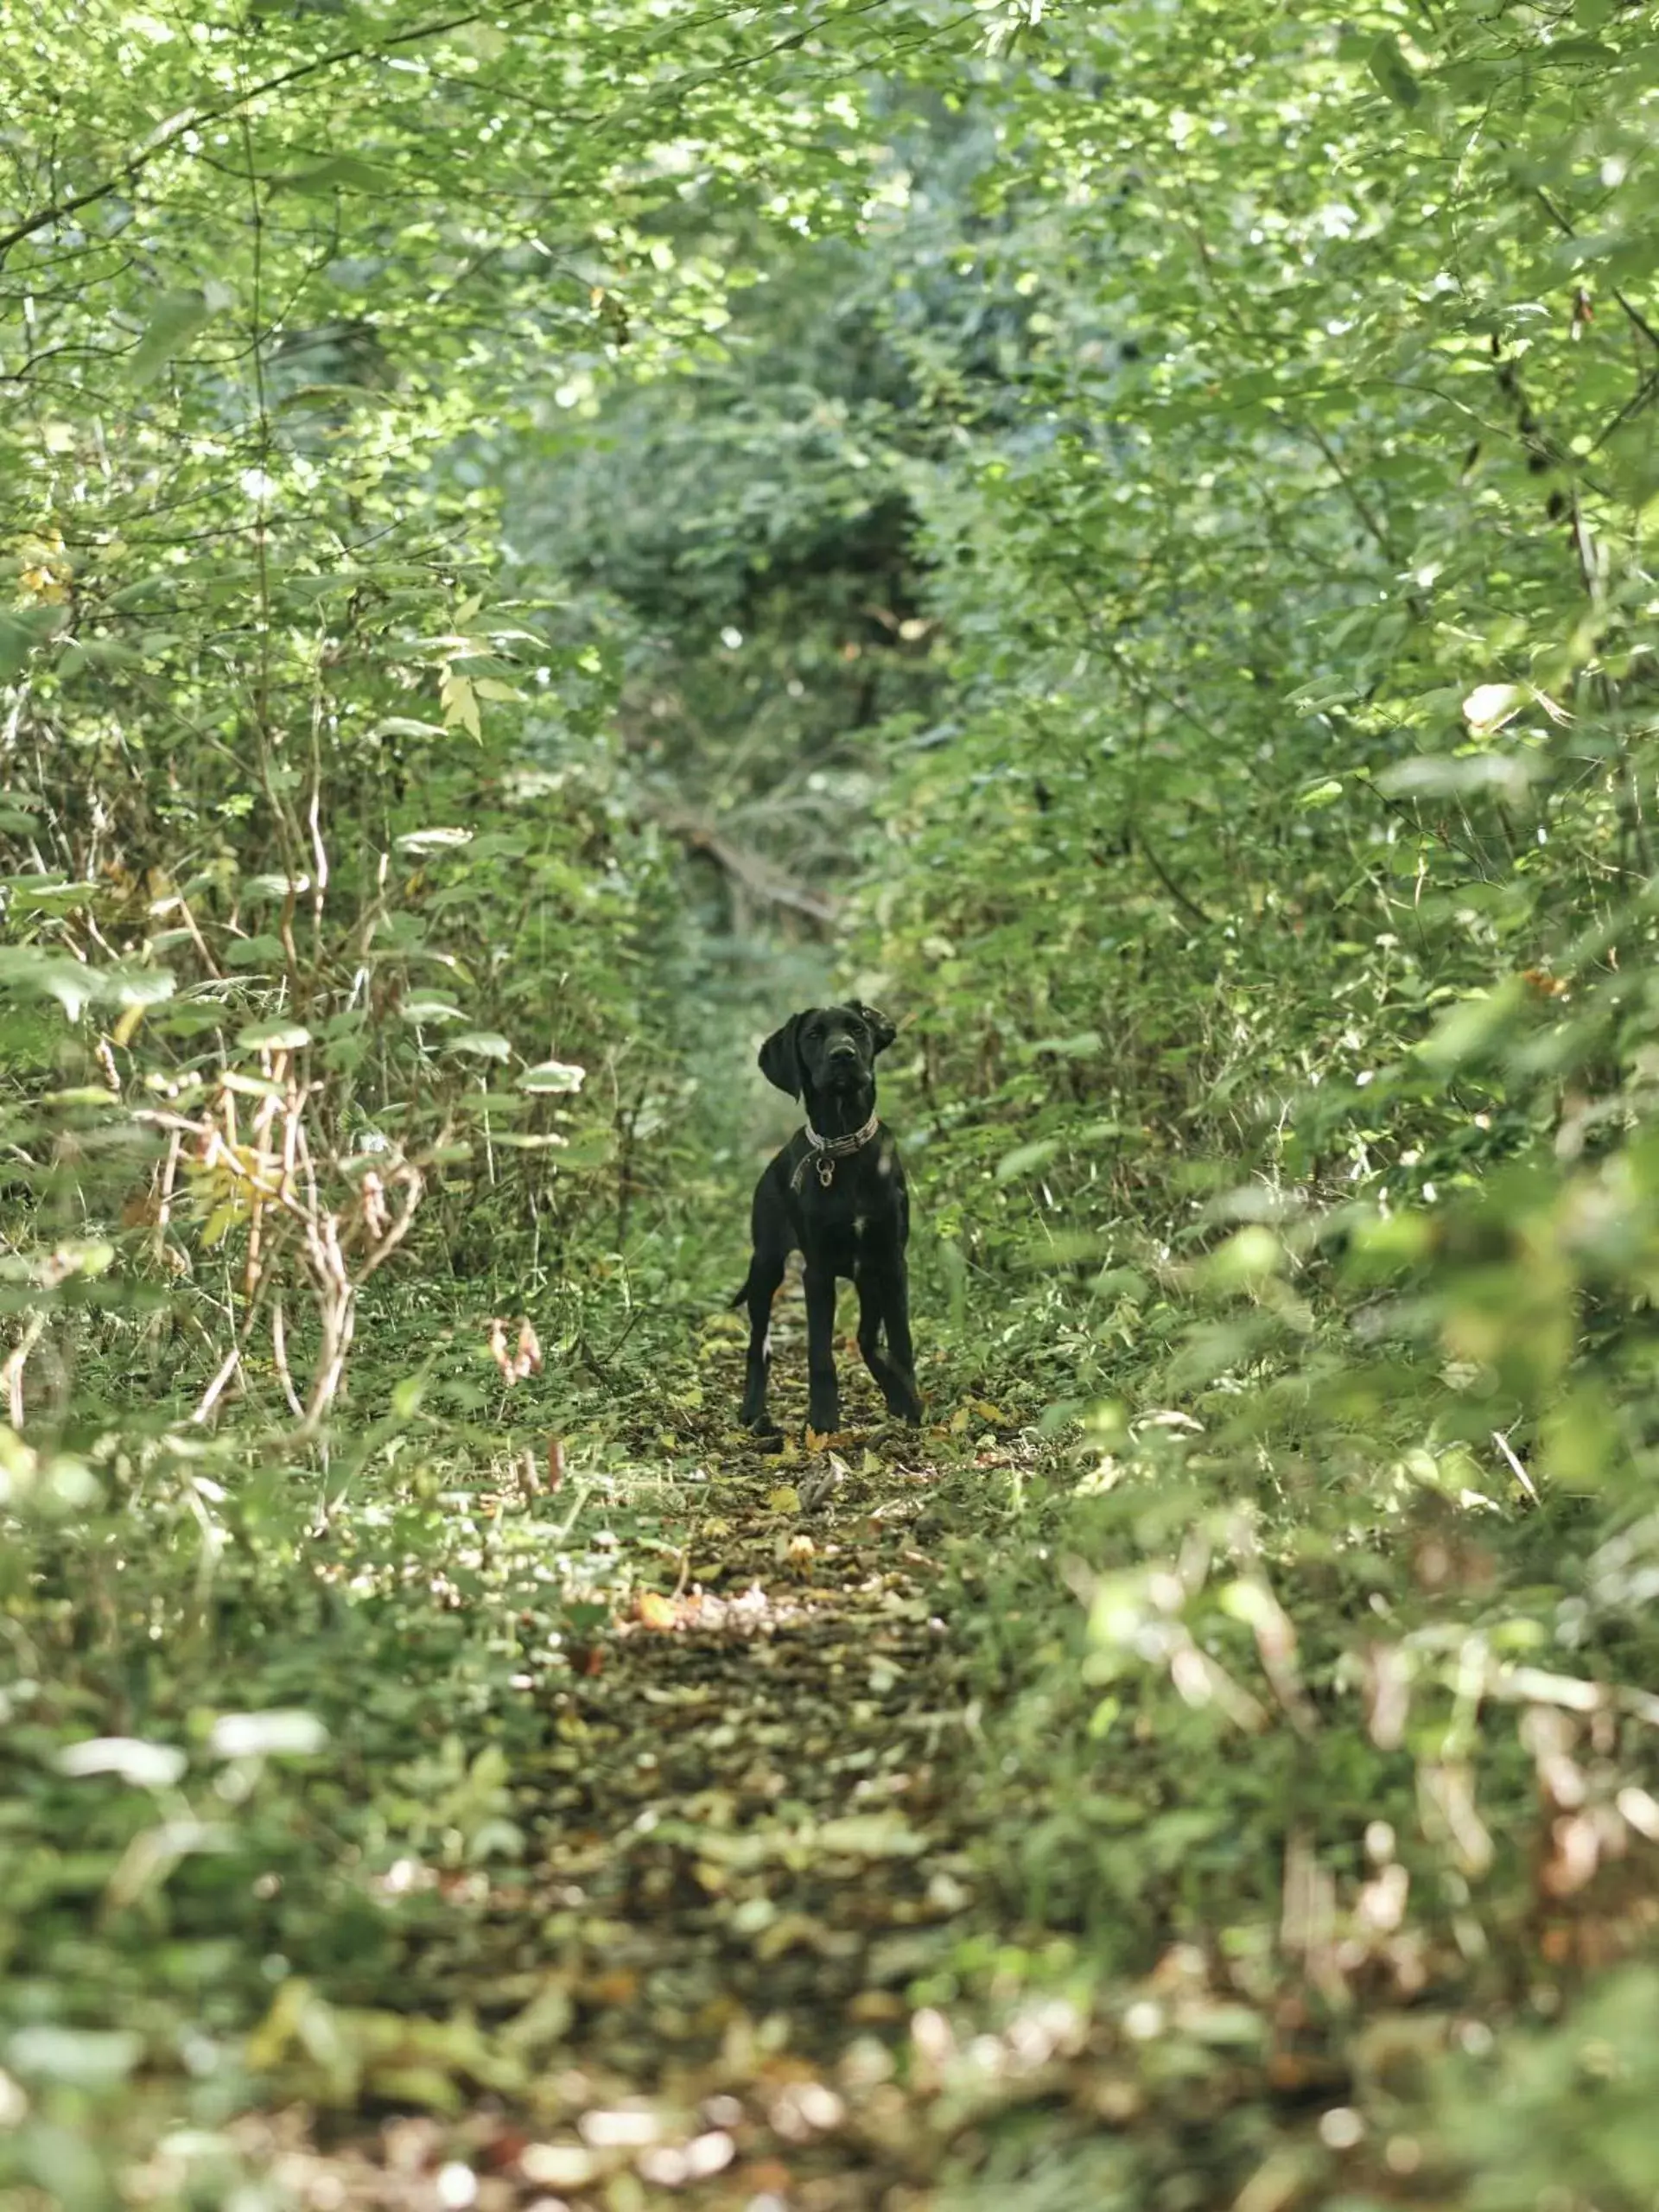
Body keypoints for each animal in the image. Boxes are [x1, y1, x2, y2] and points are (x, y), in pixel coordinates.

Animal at [734, 1004, 929, 1433]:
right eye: (813, 1036)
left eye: (857, 1030)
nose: (843, 1055)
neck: (843, 1146)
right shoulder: (817, 1271)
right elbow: (820, 1352)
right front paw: (822, 1420)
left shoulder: (891, 1262)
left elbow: (902, 1342)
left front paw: (910, 1403)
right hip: (765, 1265)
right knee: (759, 1343)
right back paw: (752, 1409)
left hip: (868, 1277)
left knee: (868, 1338)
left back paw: (894, 1393)